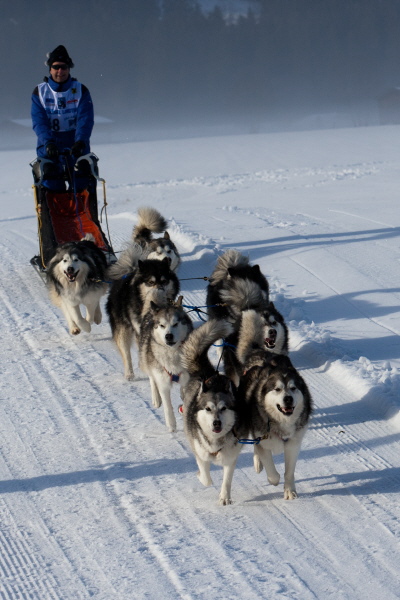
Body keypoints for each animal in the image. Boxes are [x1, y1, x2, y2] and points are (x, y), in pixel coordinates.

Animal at [105, 244, 179, 380]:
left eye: (164, 281)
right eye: (151, 282)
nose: (160, 292)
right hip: (123, 331)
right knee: (126, 353)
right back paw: (129, 373)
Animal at [180, 322, 247, 504]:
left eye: (223, 408)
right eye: (208, 409)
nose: (216, 423)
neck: (216, 442)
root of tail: (208, 373)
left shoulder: (230, 457)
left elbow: (227, 480)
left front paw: (224, 497)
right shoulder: (200, 452)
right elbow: (206, 478)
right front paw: (200, 476)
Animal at [238, 312, 312, 500]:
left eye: (293, 388)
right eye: (277, 389)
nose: (288, 399)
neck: (281, 423)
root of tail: (261, 352)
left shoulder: (293, 445)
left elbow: (289, 472)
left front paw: (290, 491)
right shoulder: (263, 441)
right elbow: (271, 469)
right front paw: (274, 479)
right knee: (256, 447)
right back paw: (258, 463)